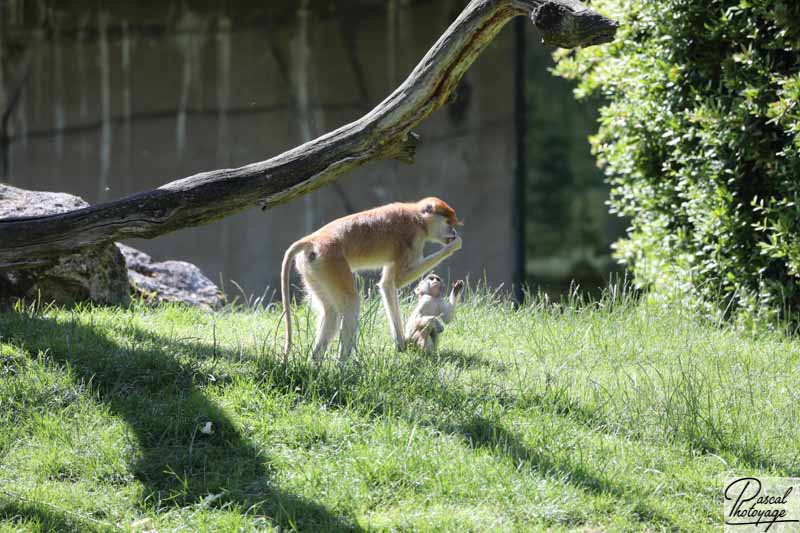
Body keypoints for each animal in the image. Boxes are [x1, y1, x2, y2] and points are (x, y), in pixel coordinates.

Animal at [284, 197, 462, 364]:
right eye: (447, 222)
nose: (453, 232)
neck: (418, 218)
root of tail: (313, 239)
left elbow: (388, 284)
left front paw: (401, 344)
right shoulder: (413, 240)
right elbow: (396, 281)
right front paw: (452, 247)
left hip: (314, 269)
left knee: (331, 311)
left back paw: (316, 361)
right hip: (330, 262)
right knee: (351, 302)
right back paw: (343, 364)